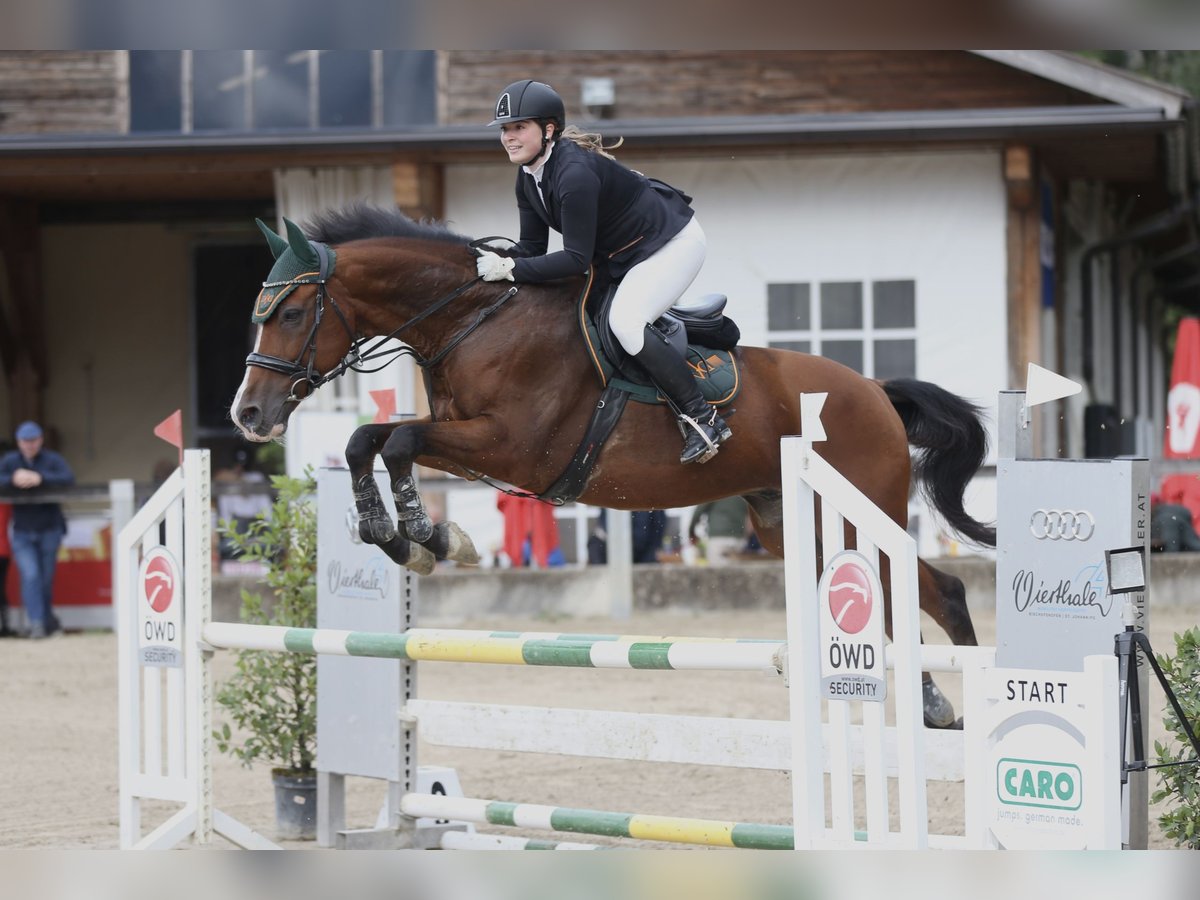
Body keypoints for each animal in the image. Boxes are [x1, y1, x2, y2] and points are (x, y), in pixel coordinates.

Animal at [231, 207, 993, 729]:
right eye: (259, 312)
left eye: (292, 312)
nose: (248, 414)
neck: (476, 318)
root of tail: (877, 391)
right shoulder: (465, 439)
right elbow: (368, 439)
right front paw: (401, 538)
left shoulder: (510, 445)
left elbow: (392, 443)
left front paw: (427, 536)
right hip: (790, 523)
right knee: (896, 600)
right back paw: (932, 700)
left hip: (859, 510)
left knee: (941, 591)